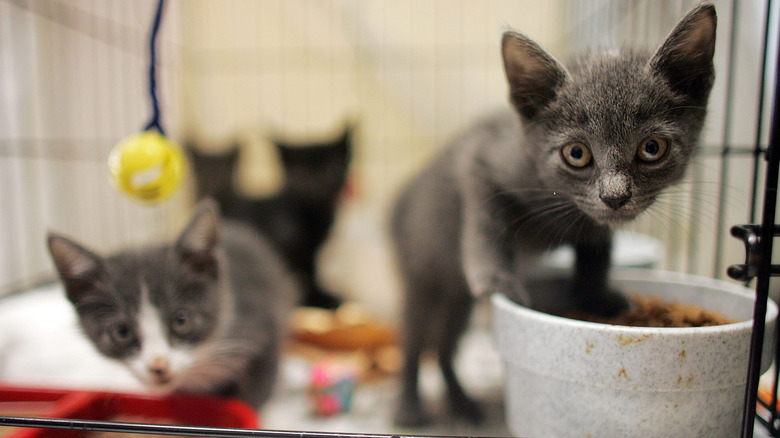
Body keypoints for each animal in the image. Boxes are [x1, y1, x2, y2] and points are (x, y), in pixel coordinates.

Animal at [394, 3, 716, 426]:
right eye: (576, 153)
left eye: (652, 147)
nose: (615, 196)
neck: (561, 201)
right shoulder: (481, 157)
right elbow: (486, 222)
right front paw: (497, 282)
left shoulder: (596, 222)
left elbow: (597, 248)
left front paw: (596, 296)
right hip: (422, 275)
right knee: (416, 341)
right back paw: (409, 407)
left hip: (454, 298)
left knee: (444, 346)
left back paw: (463, 403)